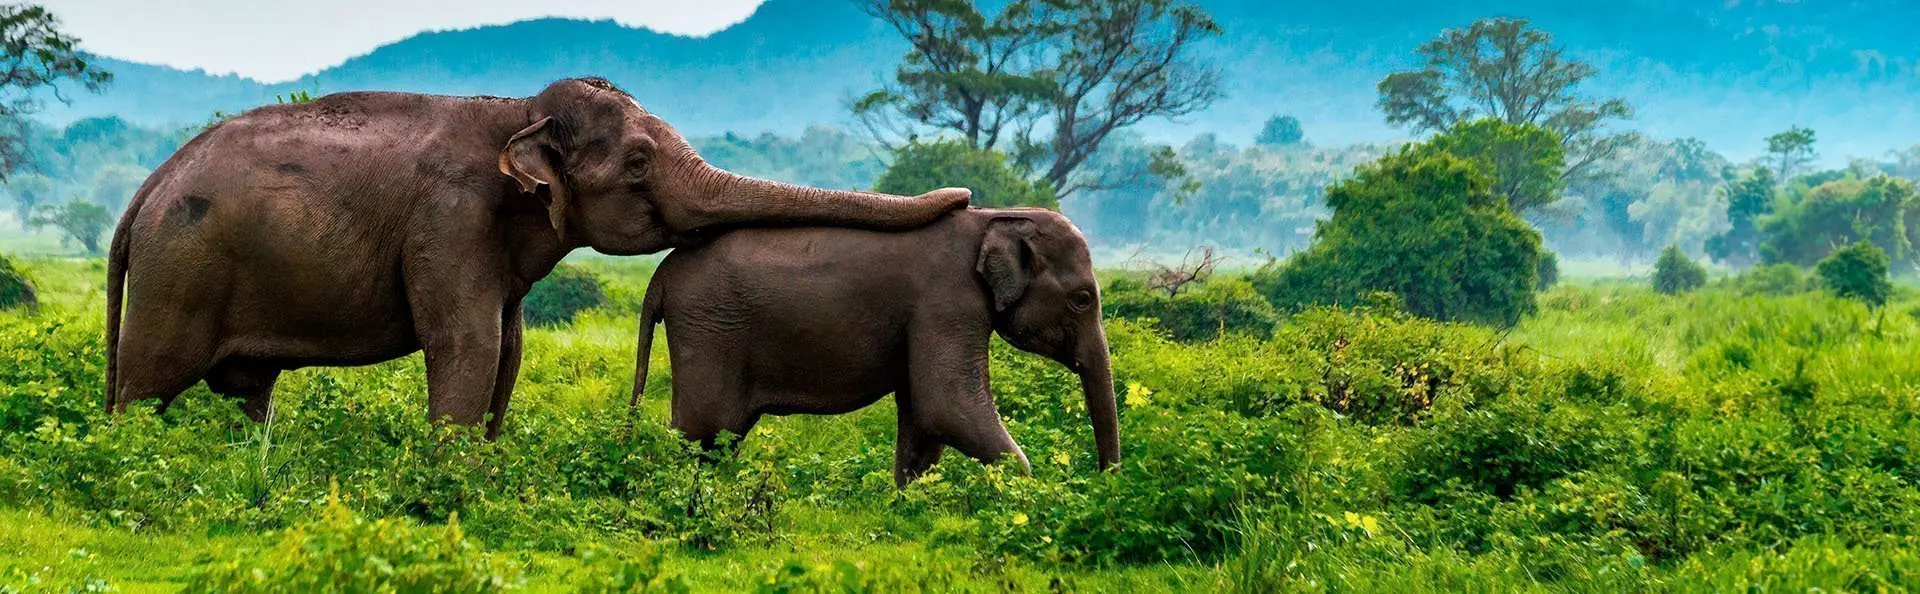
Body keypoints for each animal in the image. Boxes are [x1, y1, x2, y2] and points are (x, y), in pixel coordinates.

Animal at [104, 77, 970, 437]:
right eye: (637, 163)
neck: (517, 109)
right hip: (179, 274)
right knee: (147, 385)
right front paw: (448, 478)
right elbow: (468, 345)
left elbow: (509, 351)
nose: (963, 197)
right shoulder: (450, 221)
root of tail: (143, 192)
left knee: (247, 394)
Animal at [630, 207, 1120, 486]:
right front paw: (1028, 492)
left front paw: (907, 503)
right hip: (709, 331)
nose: (1105, 482)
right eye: (1083, 299)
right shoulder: (948, 300)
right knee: (701, 432)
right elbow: (946, 406)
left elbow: (923, 417)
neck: (993, 218)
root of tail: (660, 276)